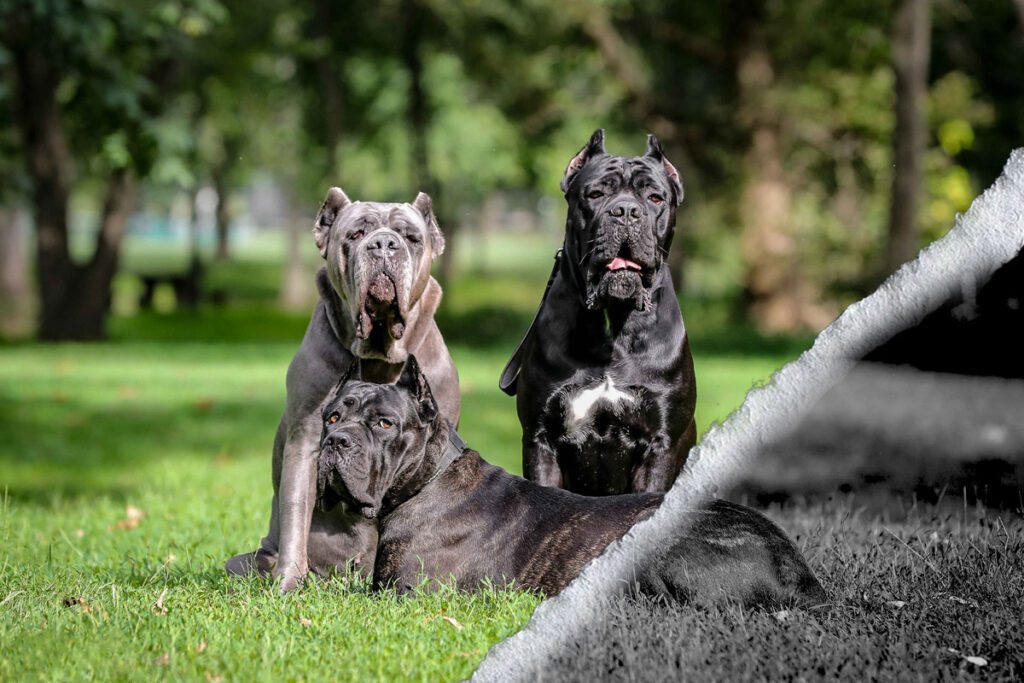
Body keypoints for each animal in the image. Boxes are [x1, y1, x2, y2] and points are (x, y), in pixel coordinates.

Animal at [229, 187, 464, 593]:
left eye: (412, 238)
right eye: (355, 235)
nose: (384, 244)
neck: (379, 353)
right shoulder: (306, 439)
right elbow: (296, 512)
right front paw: (289, 582)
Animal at [315, 356, 827, 606]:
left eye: (384, 424)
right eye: (332, 416)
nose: (336, 441)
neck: (429, 480)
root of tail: (797, 570)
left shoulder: (405, 595)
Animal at [501, 127, 696, 493]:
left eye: (655, 198)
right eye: (595, 194)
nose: (626, 211)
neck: (613, 323)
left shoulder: (659, 443)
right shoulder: (540, 438)